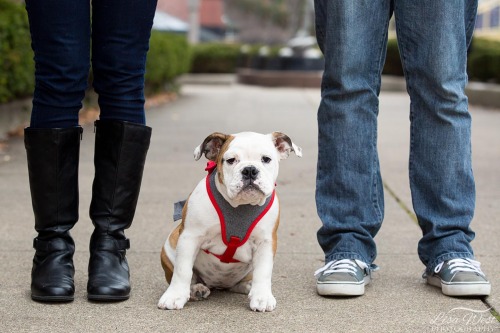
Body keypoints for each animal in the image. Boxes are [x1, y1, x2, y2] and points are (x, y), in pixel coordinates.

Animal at [158, 131, 302, 310]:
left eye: (266, 159)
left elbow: (263, 271)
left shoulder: (266, 242)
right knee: (188, 275)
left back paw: (248, 286)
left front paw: (262, 297)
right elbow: (182, 270)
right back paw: (196, 290)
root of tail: (218, 284)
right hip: (170, 245)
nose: (249, 170)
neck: (240, 206)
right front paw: (174, 296)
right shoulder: (190, 236)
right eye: (231, 160)